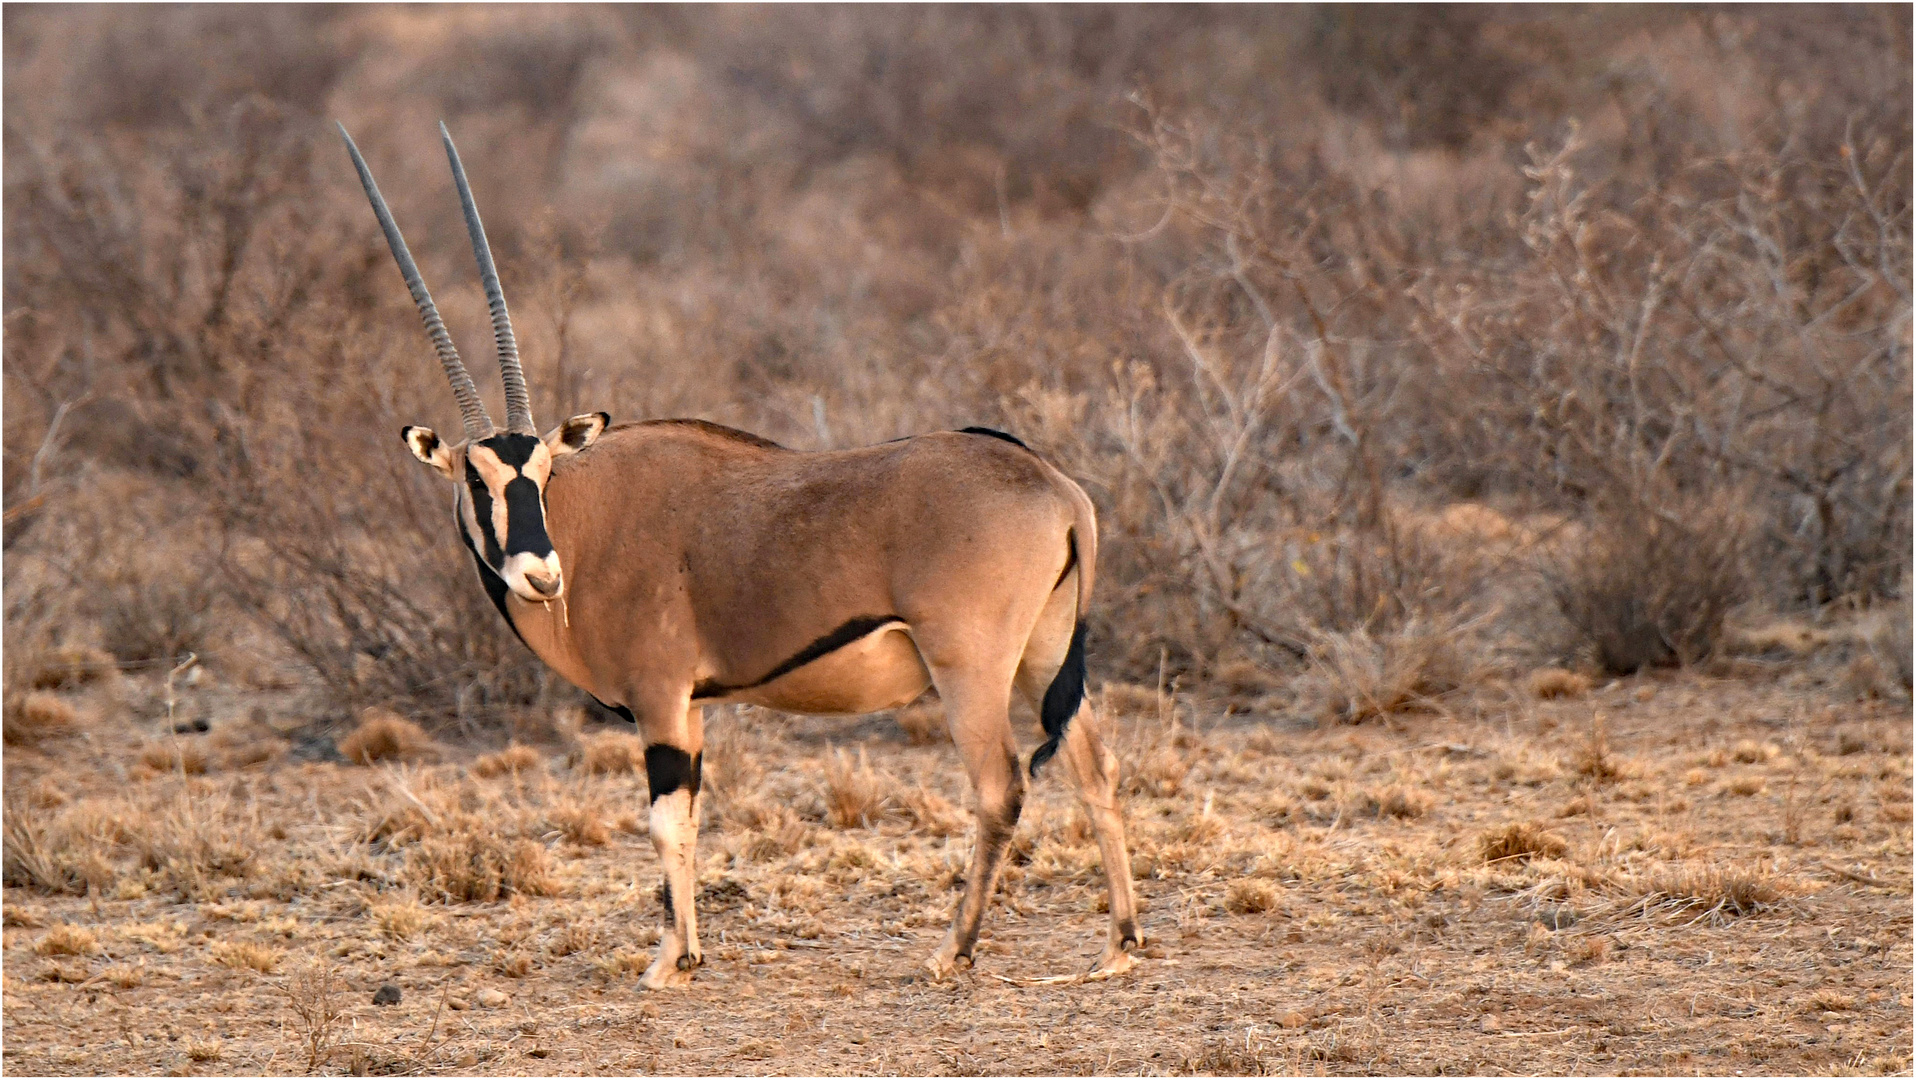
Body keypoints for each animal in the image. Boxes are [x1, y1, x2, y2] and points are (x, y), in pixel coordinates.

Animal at [339, 124, 1134, 988]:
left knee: (1000, 787)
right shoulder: (689, 708)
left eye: (543, 475)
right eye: (477, 479)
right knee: (1095, 769)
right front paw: (685, 952)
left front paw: (667, 964)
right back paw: (1119, 944)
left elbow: (663, 824)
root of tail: (1053, 484)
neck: (591, 521)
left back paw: (953, 948)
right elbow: (689, 819)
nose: (541, 575)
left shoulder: (658, 698)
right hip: (1045, 654)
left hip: (971, 665)